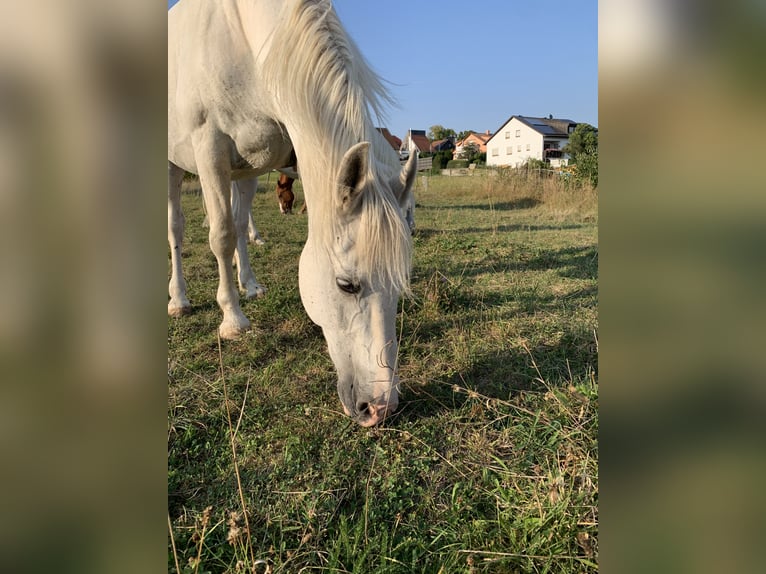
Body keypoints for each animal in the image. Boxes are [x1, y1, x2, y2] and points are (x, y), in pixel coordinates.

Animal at [170, 0, 420, 426]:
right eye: (346, 285)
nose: (380, 408)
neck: (243, 34)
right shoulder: (209, 148)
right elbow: (220, 234)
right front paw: (232, 320)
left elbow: (237, 228)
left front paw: (245, 290)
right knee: (177, 230)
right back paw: (179, 299)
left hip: (246, 170)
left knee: (241, 223)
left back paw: (250, 285)